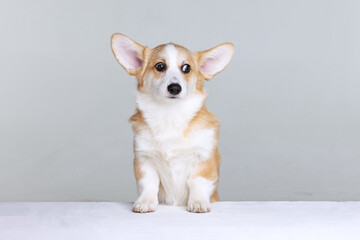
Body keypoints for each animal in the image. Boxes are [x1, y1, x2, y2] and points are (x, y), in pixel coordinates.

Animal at [109, 32, 233, 213]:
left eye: (186, 68)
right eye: (160, 66)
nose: (175, 88)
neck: (170, 115)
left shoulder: (205, 158)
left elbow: (198, 182)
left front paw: (198, 202)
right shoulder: (144, 159)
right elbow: (148, 184)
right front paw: (145, 201)